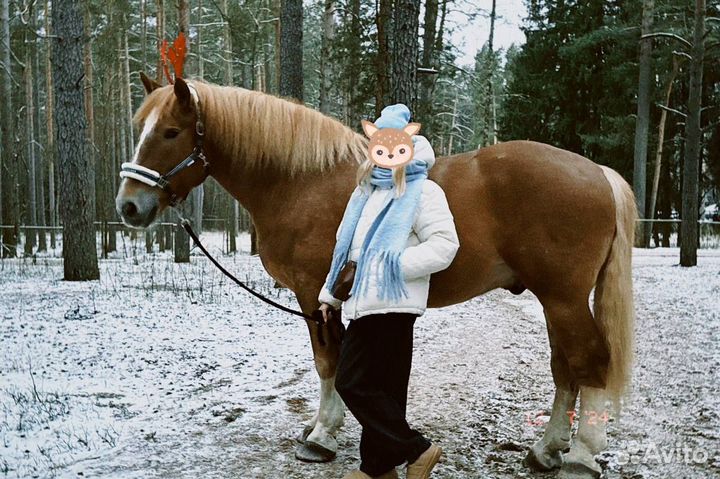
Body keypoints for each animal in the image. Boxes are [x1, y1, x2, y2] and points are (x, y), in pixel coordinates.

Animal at [115, 75, 636, 479]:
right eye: (140, 129)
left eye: (171, 132)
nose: (129, 206)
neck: (301, 181)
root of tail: (597, 172)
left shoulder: (314, 293)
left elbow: (327, 362)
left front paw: (321, 436)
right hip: (554, 300)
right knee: (565, 368)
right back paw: (546, 450)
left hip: (564, 298)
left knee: (588, 363)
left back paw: (581, 457)